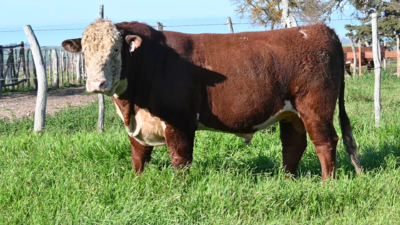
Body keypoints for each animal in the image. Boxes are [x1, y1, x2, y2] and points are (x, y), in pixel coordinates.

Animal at [61, 19, 360, 179]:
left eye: (115, 50)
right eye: (85, 51)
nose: (96, 84)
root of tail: (321, 29)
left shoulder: (179, 122)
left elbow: (180, 160)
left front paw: (180, 188)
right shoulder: (137, 127)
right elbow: (139, 158)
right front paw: (138, 183)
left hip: (314, 107)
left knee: (325, 142)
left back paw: (327, 183)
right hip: (291, 112)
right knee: (294, 144)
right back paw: (286, 179)